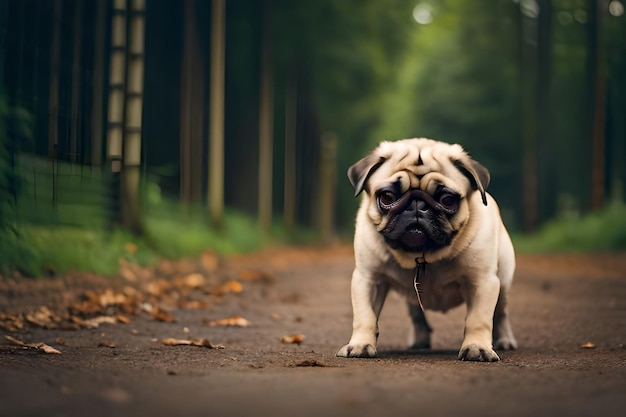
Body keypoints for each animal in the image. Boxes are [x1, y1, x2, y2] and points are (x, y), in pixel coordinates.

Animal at [336, 137, 516, 360]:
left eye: (447, 200)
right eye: (387, 197)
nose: (417, 206)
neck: (422, 255)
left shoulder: (482, 281)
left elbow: (478, 319)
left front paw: (477, 347)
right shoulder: (368, 279)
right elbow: (365, 316)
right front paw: (360, 345)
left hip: (503, 284)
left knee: (501, 314)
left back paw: (505, 341)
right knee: (416, 315)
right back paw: (419, 340)